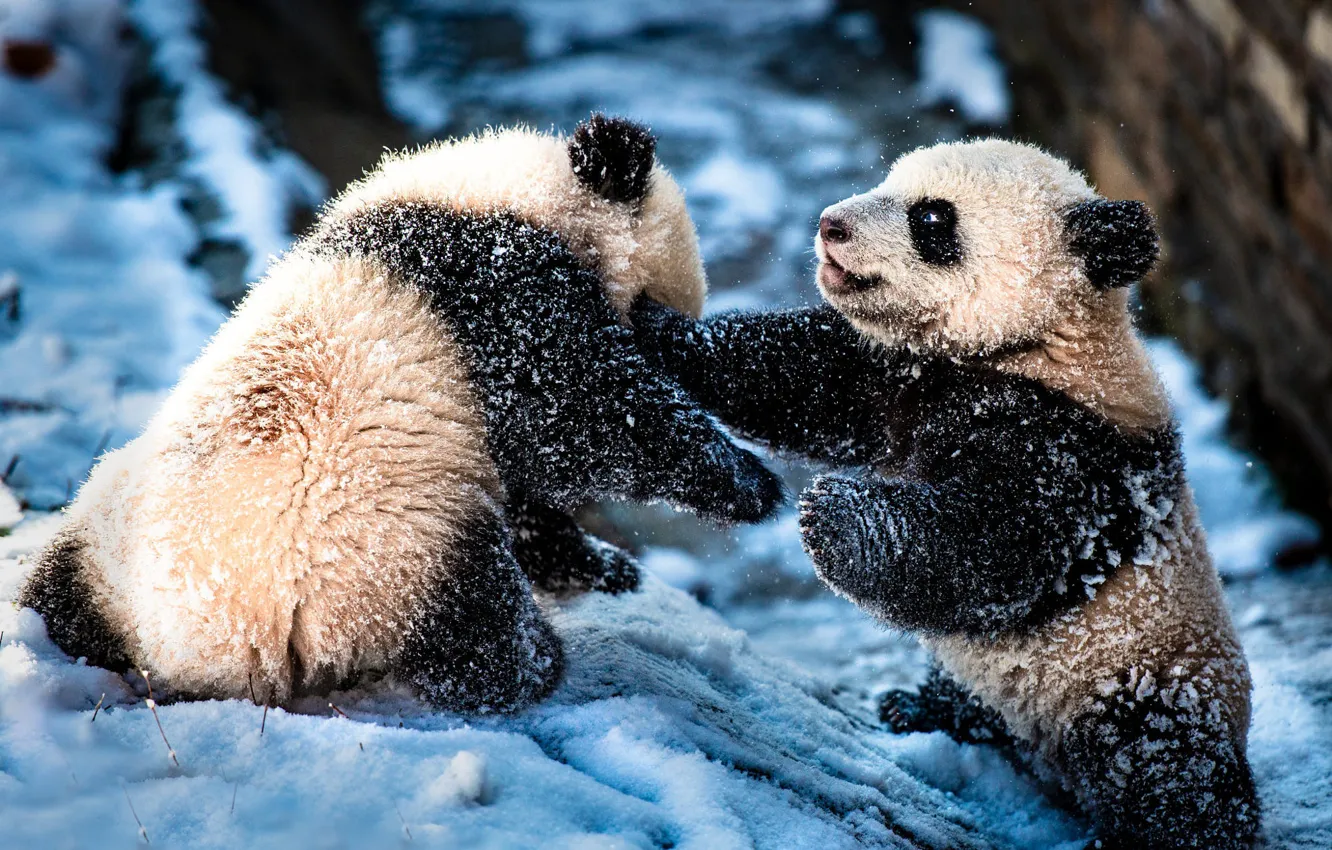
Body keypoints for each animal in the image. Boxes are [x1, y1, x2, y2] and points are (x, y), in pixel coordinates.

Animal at [19, 114, 783, 713]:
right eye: (656, 302)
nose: (674, 332)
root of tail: (210, 646)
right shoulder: (496, 292)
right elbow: (583, 415)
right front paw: (750, 484)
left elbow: (534, 481)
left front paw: (605, 566)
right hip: (386, 542)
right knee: (472, 624)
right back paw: (536, 660)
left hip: (108, 531)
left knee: (57, 588)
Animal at [631, 139, 1257, 849]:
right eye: (889, 181)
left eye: (931, 219)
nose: (830, 225)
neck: (1040, 345)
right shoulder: (901, 374)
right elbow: (798, 376)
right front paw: (653, 326)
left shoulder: (1076, 450)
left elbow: (993, 547)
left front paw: (832, 515)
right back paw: (920, 708)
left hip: (1143, 678)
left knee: (1169, 770)